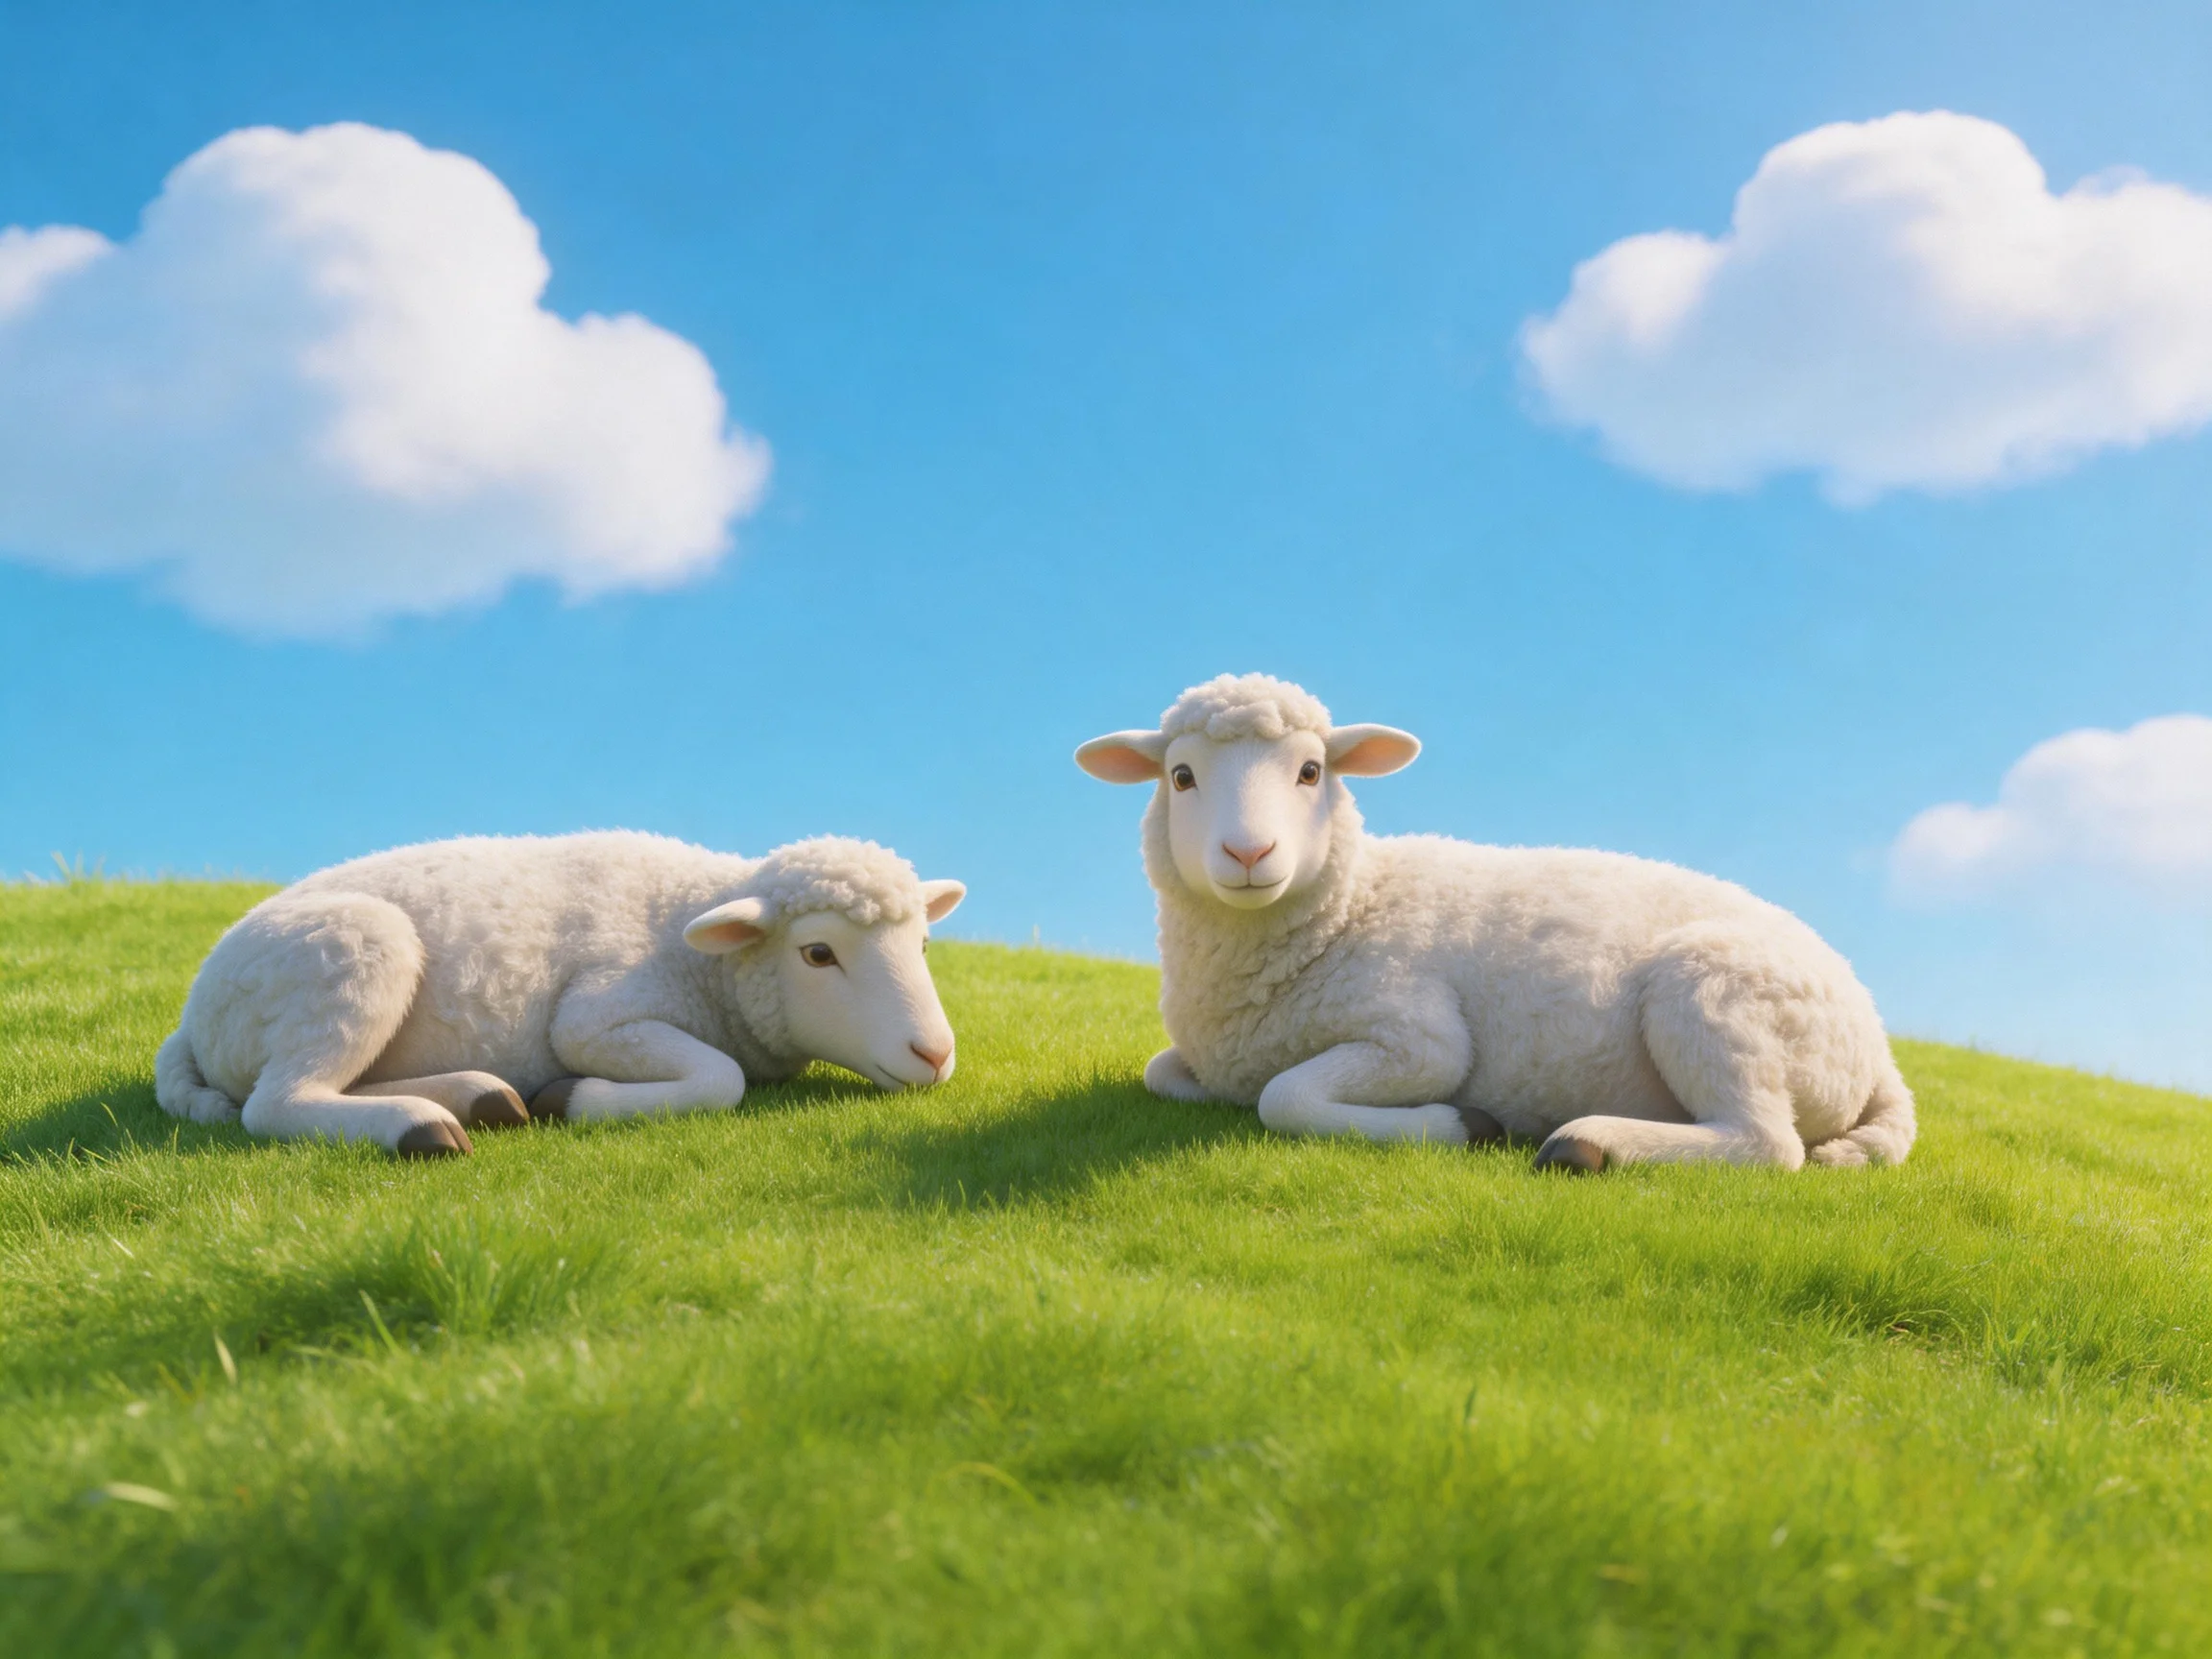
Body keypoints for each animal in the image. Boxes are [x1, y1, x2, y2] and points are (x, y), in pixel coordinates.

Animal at [154, 831, 966, 1157]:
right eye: (817, 953)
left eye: (923, 946)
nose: (933, 1054)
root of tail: (191, 1020)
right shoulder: (598, 1017)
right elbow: (722, 1078)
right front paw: (572, 1098)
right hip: (350, 957)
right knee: (276, 1105)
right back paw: (420, 1127)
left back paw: (479, 1097)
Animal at [1075, 674, 1914, 1171]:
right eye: (1182, 777)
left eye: (1311, 772)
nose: (1250, 851)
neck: (1351, 906)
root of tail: (1878, 1049)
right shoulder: (1206, 1060)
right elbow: (1161, 1073)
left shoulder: (1417, 1038)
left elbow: (1283, 1098)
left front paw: (1466, 1123)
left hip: (1718, 995)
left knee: (1767, 1142)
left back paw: (1587, 1143)